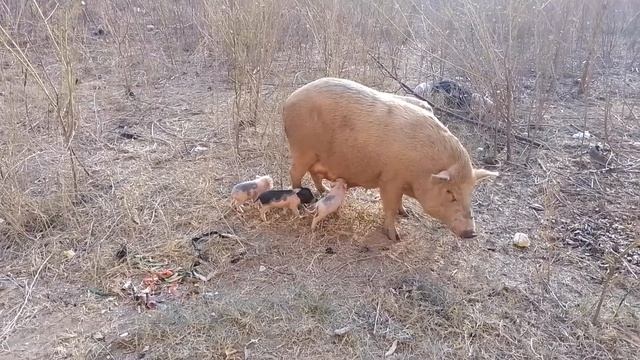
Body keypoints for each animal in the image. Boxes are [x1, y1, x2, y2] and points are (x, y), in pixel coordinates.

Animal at [282, 77, 500, 240]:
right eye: (450, 193)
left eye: (470, 193)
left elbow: (399, 203)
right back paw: (301, 201)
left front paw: (406, 213)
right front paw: (395, 237)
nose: (471, 233)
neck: (422, 170)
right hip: (302, 149)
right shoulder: (389, 179)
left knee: (314, 173)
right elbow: (389, 206)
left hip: (315, 155)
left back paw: (325, 190)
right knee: (294, 172)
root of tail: (288, 100)